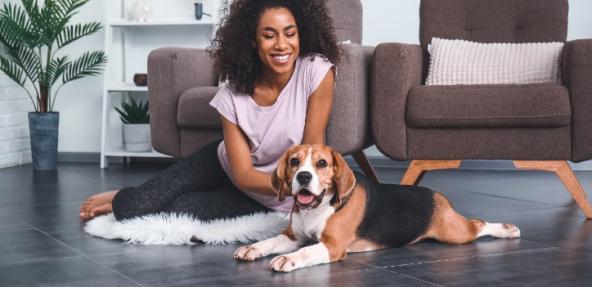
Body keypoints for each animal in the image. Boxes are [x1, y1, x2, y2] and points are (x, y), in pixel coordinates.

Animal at [234, 145, 520, 274]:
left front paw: (289, 259)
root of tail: (436, 194)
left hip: (454, 233)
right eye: (294, 161)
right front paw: (253, 248)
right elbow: (271, 241)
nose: (303, 177)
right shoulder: (294, 236)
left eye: (322, 163)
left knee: (479, 224)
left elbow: (305, 251)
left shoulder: (333, 246)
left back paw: (508, 229)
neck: (318, 208)